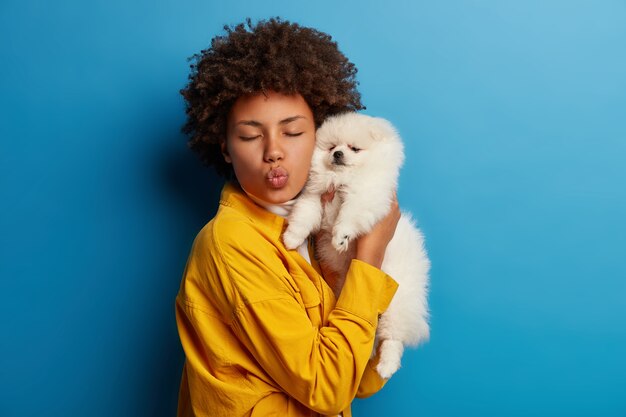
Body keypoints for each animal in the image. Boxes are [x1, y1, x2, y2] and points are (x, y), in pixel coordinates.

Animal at [282, 112, 428, 378]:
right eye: (332, 147)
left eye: (354, 148)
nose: (338, 154)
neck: (341, 179)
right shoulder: (315, 197)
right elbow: (304, 215)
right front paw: (292, 238)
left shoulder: (366, 196)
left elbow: (349, 214)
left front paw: (340, 237)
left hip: (398, 299)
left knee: (393, 338)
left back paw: (386, 366)